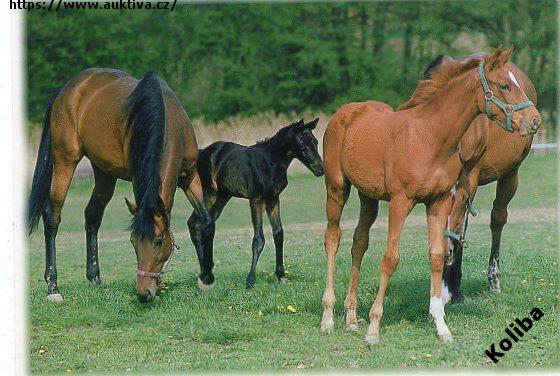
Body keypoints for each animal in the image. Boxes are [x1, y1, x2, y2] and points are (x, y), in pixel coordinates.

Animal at [27, 68, 213, 302]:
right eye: (133, 241)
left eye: (158, 241)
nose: (143, 293)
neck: (166, 121)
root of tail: (67, 89)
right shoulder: (138, 179)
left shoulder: (190, 176)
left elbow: (203, 221)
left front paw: (205, 279)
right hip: (64, 161)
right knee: (52, 216)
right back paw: (53, 288)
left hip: (104, 171)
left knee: (92, 215)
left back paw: (95, 279)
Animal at [187, 117, 324, 288]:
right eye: (301, 144)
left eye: (315, 142)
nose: (320, 169)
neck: (269, 162)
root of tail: (201, 152)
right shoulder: (256, 199)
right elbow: (258, 239)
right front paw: (250, 281)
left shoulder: (273, 198)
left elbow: (278, 234)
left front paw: (281, 276)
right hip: (208, 194)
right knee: (197, 223)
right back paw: (205, 275)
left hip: (222, 197)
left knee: (200, 224)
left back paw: (205, 273)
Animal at [422, 53, 540, 300]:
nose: (534, 120)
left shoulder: (468, 181)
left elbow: (458, 226)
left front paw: (447, 288)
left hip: (510, 176)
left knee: (497, 219)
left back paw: (492, 279)